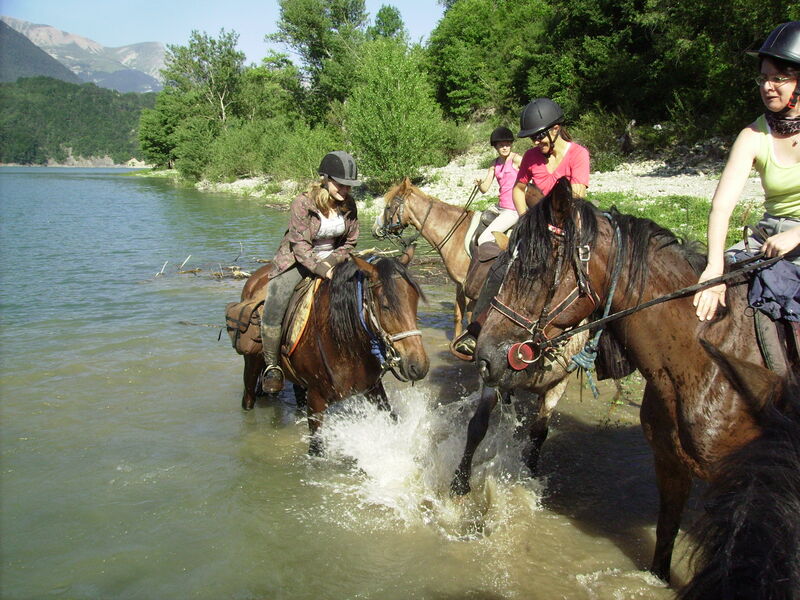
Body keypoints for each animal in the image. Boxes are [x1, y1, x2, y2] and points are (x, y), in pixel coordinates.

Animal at [237, 246, 429, 454]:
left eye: (415, 300)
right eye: (386, 306)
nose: (418, 366)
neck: (343, 344)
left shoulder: (373, 388)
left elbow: (391, 418)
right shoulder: (316, 399)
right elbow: (316, 448)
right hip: (252, 362)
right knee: (248, 398)